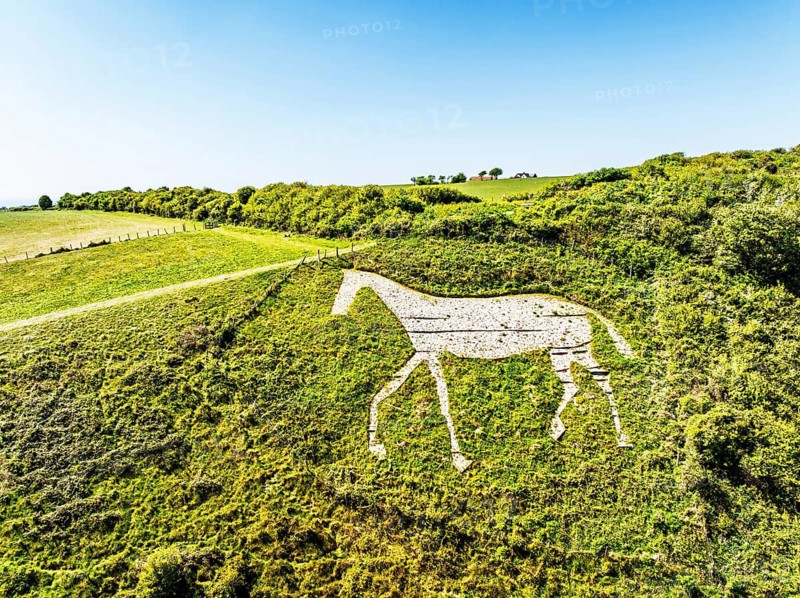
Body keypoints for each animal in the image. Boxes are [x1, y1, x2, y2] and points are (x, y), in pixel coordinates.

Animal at [331, 269, 633, 472]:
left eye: (345, 286)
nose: (336, 312)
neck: (417, 311)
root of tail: (583, 308)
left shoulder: (431, 355)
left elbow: (443, 403)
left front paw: (459, 459)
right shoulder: (423, 354)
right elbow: (385, 392)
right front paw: (376, 447)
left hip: (567, 351)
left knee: (587, 382)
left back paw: (601, 435)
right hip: (570, 352)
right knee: (589, 380)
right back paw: (587, 433)